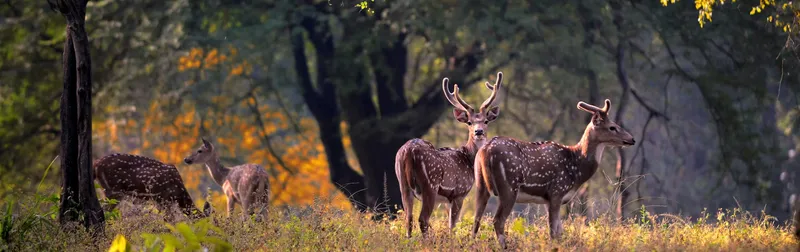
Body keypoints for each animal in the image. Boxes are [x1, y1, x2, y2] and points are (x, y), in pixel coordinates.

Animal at [396, 72, 504, 237]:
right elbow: (452, 225)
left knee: (408, 218)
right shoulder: (459, 192)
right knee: (423, 219)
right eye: (469, 122)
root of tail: (408, 151)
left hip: (402, 183)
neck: (468, 159)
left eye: (486, 121)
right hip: (430, 184)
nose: (478, 132)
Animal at [472, 98, 636, 248]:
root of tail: (485, 151)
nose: (632, 139)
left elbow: (559, 231)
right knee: (498, 220)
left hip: (480, 184)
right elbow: (553, 232)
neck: (577, 169)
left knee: (476, 219)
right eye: (612, 127)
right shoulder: (557, 191)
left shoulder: (548, 199)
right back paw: (504, 246)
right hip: (509, 186)